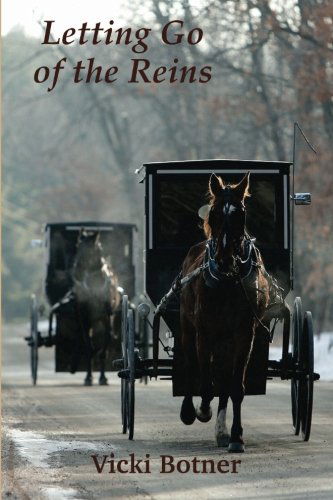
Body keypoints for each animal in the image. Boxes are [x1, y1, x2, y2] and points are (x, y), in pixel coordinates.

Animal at [72, 230, 120, 386]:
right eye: (77, 246)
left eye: (90, 250)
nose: (76, 273)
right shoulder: (85, 318)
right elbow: (89, 347)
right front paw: (88, 377)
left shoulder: (107, 317)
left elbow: (105, 347)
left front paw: (103, 377)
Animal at [179, 173, 270, 454]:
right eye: (215, 213)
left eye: (240, 214)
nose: (224, 259)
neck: (228, 280)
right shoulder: (204, 332)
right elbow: (205, 382)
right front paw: (202, 411)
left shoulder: (244, 334)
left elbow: (234, 386)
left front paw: (236, 437)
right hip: (188, 327)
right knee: (191, 364)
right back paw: (190, 411)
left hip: (226, 341)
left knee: (222, 379)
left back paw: (221, 431)